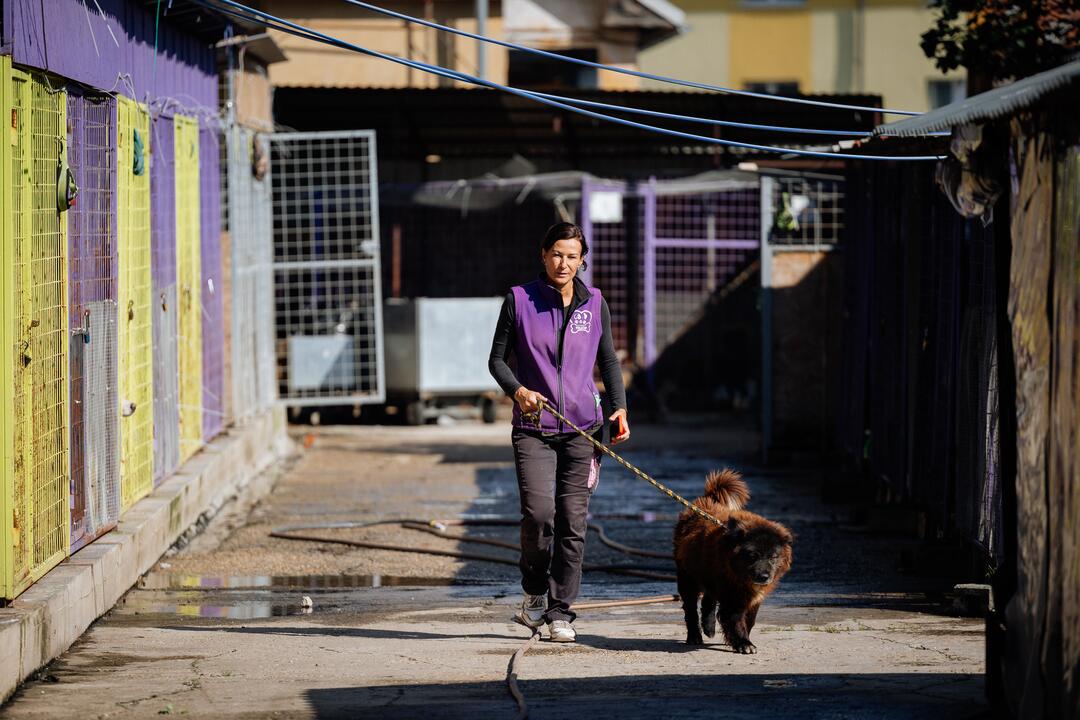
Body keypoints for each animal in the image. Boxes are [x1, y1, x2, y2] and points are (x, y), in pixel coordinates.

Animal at [673, 470, 794, 656]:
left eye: (773, 556)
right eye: (752, 555)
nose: (764, 576)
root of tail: (706, 500)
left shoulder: (752, 598)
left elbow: (749, 620)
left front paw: (742, 639)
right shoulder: (732, 596)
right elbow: (735, 619)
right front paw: (744, 643)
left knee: (708, 600)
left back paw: (709, 628)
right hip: (688, 577)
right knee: (691, 608)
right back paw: (694, 636)